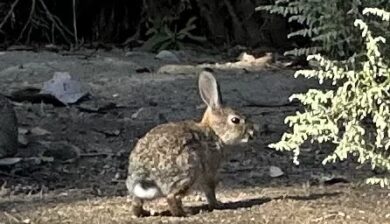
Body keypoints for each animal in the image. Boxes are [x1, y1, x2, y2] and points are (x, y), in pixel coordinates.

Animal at [125, 70, 256, 217]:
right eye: (235, 120)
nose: (252, 133)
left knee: (136, 202)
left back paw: (143, 212)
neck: (214, 132)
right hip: (189, 170)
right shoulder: (210, 172)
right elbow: (210, 191)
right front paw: (218, 205)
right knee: (172, 197)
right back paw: (184, 213)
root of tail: (144, 174)